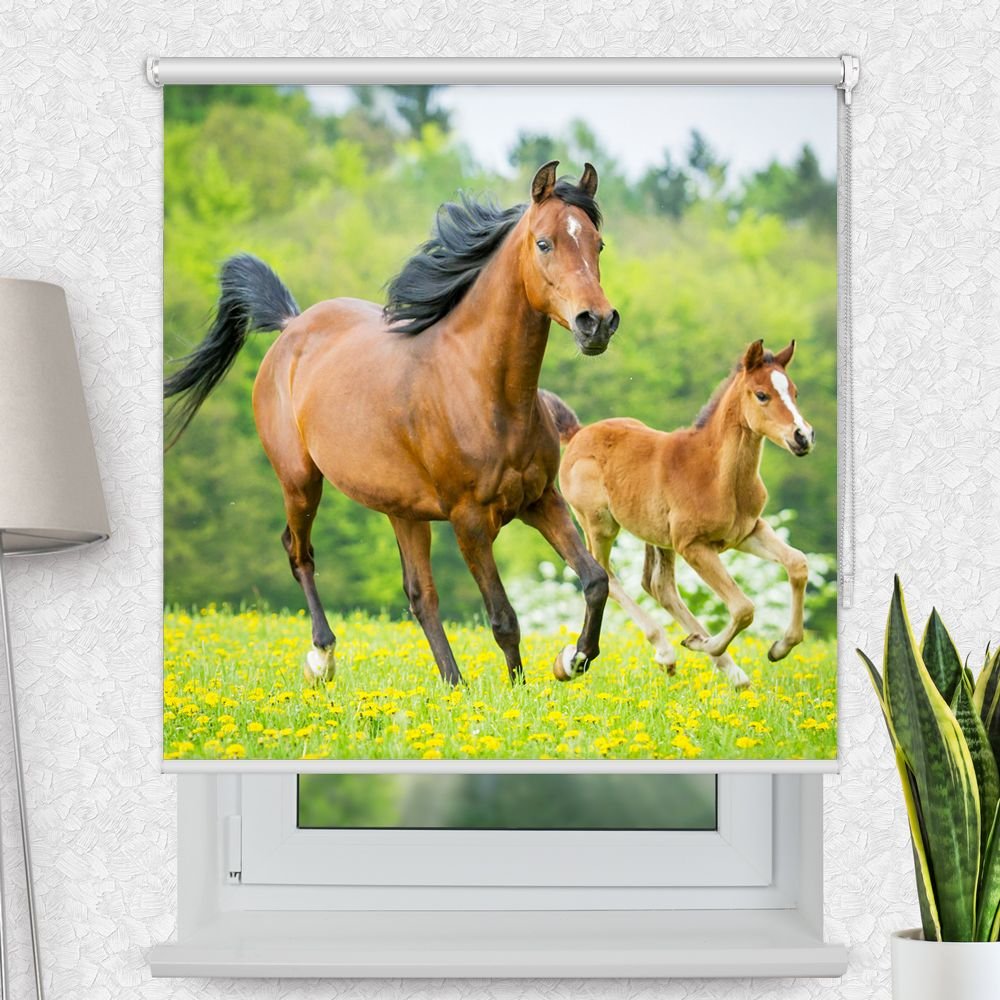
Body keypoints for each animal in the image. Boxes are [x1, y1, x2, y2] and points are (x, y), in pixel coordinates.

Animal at [165, 162, 619, 688]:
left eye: (597, 244)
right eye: (544, 243)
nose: (596, 323)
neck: (486, 390)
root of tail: (290, 326)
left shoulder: (540, 499)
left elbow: (595, 580)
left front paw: (573, 659)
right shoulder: (469, 520)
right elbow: (504, 617)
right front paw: (519, 691)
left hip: (404, 511)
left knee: (420, 594)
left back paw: (453, 684)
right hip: (300, 481)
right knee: (299, 552)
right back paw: (323, 658)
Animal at [546, 339, 814, 689]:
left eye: (794, 392)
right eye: (761, 394)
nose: (803, 437)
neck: (717, 474)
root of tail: (577, 433)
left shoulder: (748, 531)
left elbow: (798, 564)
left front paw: (780, 648)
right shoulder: (693, 545)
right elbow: (744, 607)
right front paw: (705, 643)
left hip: (657, 536)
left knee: (658, 586)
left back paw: (730, 670)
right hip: (599, 525)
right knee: (607, 576)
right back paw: (668, 650)